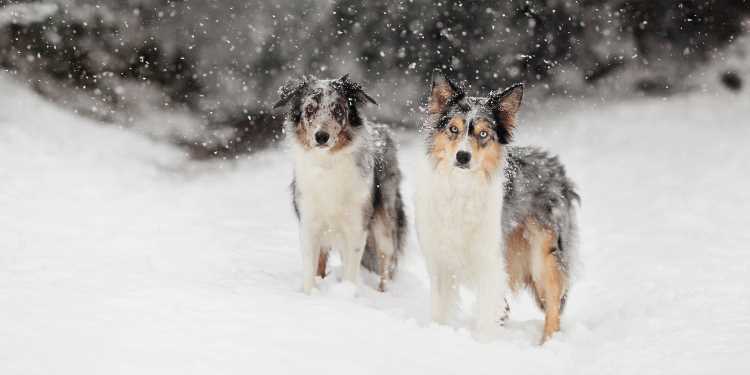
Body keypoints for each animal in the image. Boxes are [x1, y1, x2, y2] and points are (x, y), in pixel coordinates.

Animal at [274, 75, 408, 296]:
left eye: (338, 109)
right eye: (309, 109)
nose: (321, 136)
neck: (328, 164)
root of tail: (383, 129)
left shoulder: (356, 225)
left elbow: (352, 270)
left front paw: (348, 294)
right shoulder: (309, 223)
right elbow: (310, 268)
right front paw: (310, 295)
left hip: (385, 223)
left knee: (385, 264)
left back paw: (382, 293)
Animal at [418, 70, 580, 344]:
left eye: (483, 134)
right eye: (453, 129)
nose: (463, 157)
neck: (462, 188)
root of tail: (555, 167)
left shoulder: (488, 261)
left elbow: (486, 317)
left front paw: (484, 344)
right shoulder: (440, 260)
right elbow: (440, 311)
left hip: (543, 255)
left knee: (553, 306)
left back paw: (547, 344)